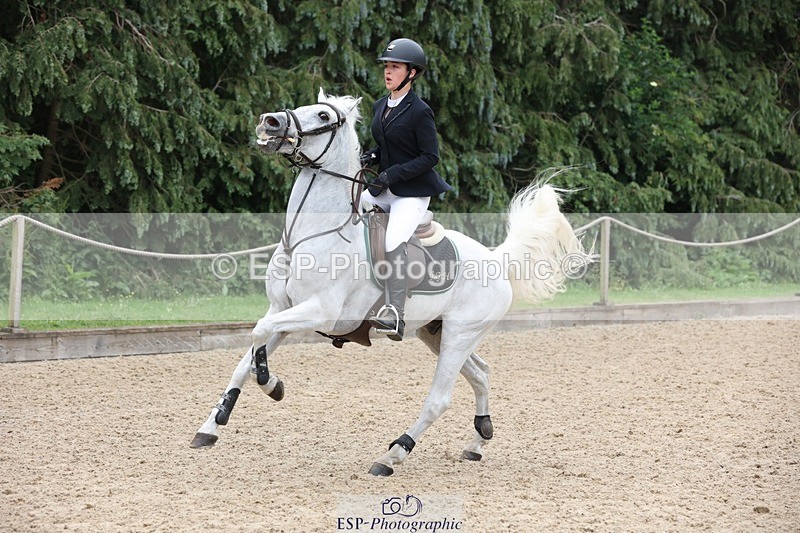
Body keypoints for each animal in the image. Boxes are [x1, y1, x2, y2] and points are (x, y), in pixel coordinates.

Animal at [190, 89, 591, 476]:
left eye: (323, 115)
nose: (269, 122)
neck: (312, 235)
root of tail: (497, 259)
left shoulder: (320, 311)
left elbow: (258, 335)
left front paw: (271, 385)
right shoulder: (284, 309)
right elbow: (248, 353)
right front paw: (213, 424)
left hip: (460, 334)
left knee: (439, 399)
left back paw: (392, 455)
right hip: (435, 332)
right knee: (481, 374)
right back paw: (478, 440)